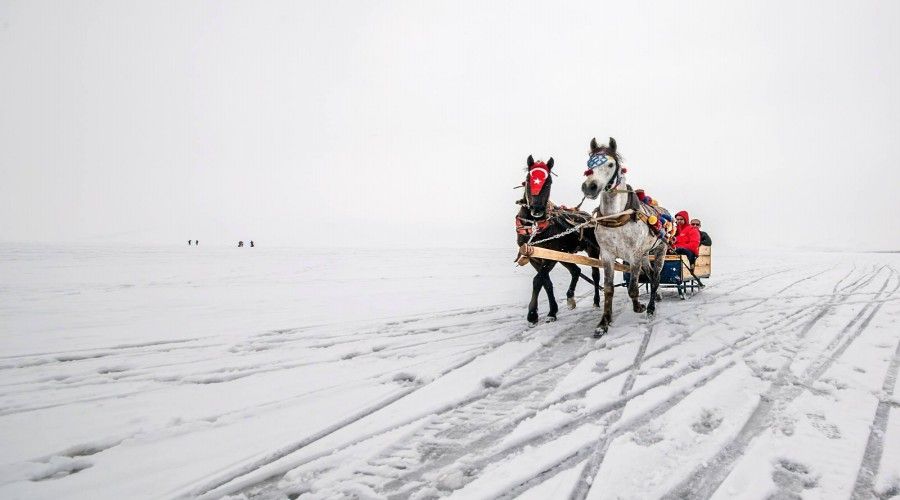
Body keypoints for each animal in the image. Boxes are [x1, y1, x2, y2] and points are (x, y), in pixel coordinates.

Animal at [584, 137, 668, 336]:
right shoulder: (607, 255)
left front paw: (639, 307)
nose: (590, 187)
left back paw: (651, 307)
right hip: (645, 254)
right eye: (589, 163)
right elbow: (608, 289)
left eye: (610, 164)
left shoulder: (634, 255)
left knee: (655, 277)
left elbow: (632, 288)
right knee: (650, 275)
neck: (616, 218)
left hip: (660, 251)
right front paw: (603, 323)